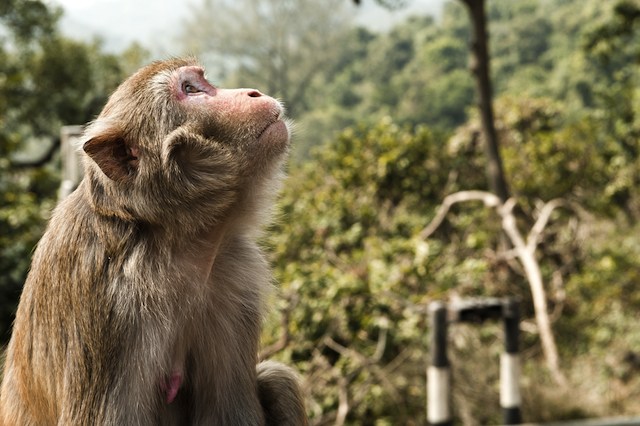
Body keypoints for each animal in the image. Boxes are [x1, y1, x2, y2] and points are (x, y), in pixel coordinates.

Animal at [0, 57, 308, 426]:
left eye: (203, 81)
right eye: (189, 89)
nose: (253, 92)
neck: (167, 239)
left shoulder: (236, 279)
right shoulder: (106, 302)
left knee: (278, 379)